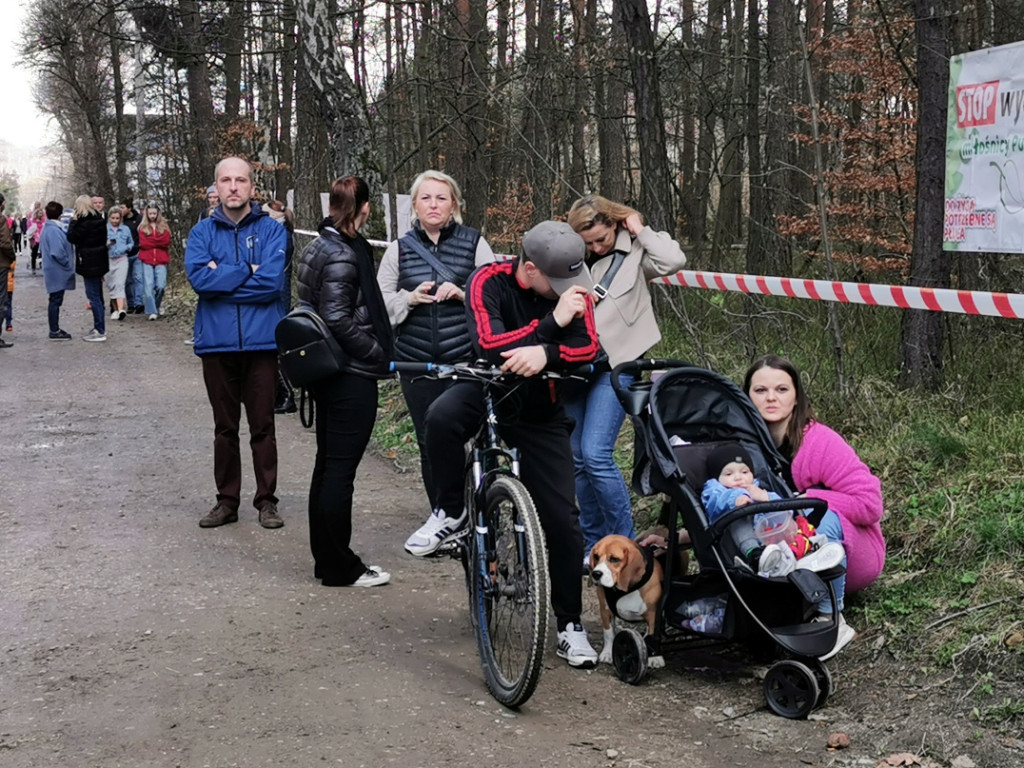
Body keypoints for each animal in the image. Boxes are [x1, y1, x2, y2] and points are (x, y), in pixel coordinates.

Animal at [589, 536, 667, 667]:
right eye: (596, 556)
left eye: (614, 559)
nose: (596, 574)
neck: (626, 589)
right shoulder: (605, 610)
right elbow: (608, 633)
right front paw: (607, 653)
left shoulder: (654, 614)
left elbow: (653, 634)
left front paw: (655, 657)